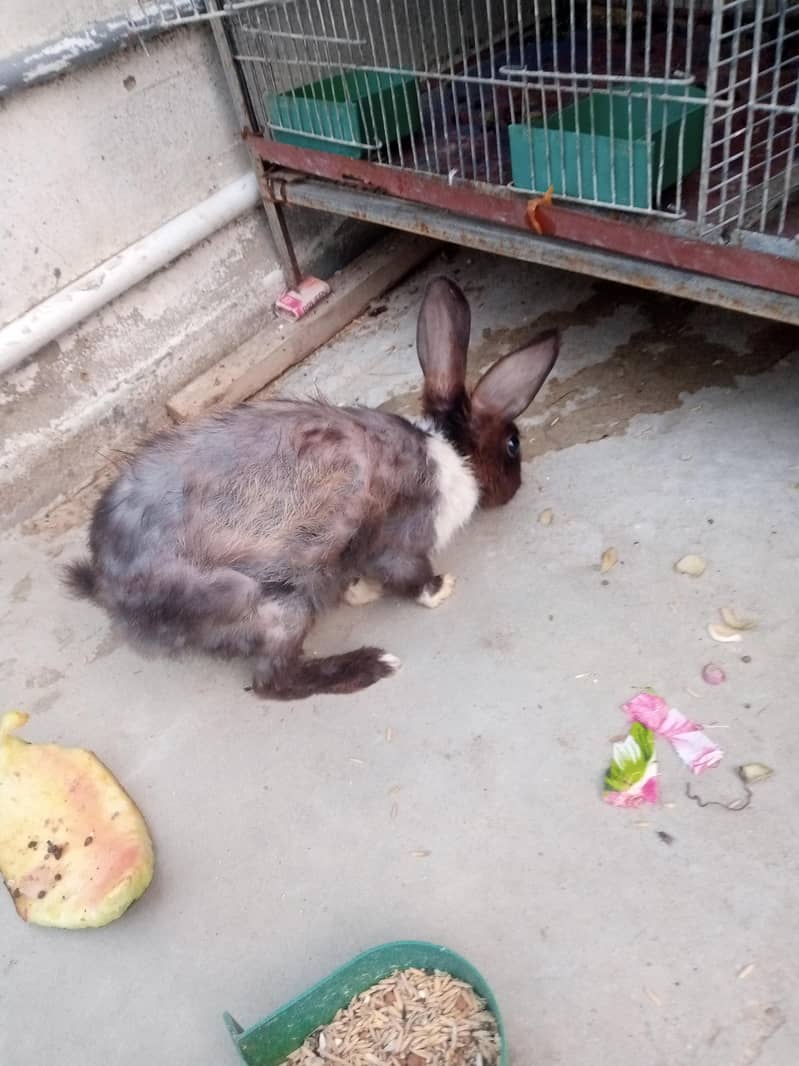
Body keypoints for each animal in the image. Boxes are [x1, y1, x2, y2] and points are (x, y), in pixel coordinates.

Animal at [63, 276, 559, 700]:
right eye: (513, 445)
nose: (516, 487)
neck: (448, 450)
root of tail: (107, 586)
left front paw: (360, 592)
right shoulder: (402, 540)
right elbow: (409, 577)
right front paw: (441, 590)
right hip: (274, 605)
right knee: (273, 682)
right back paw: (375, 664)